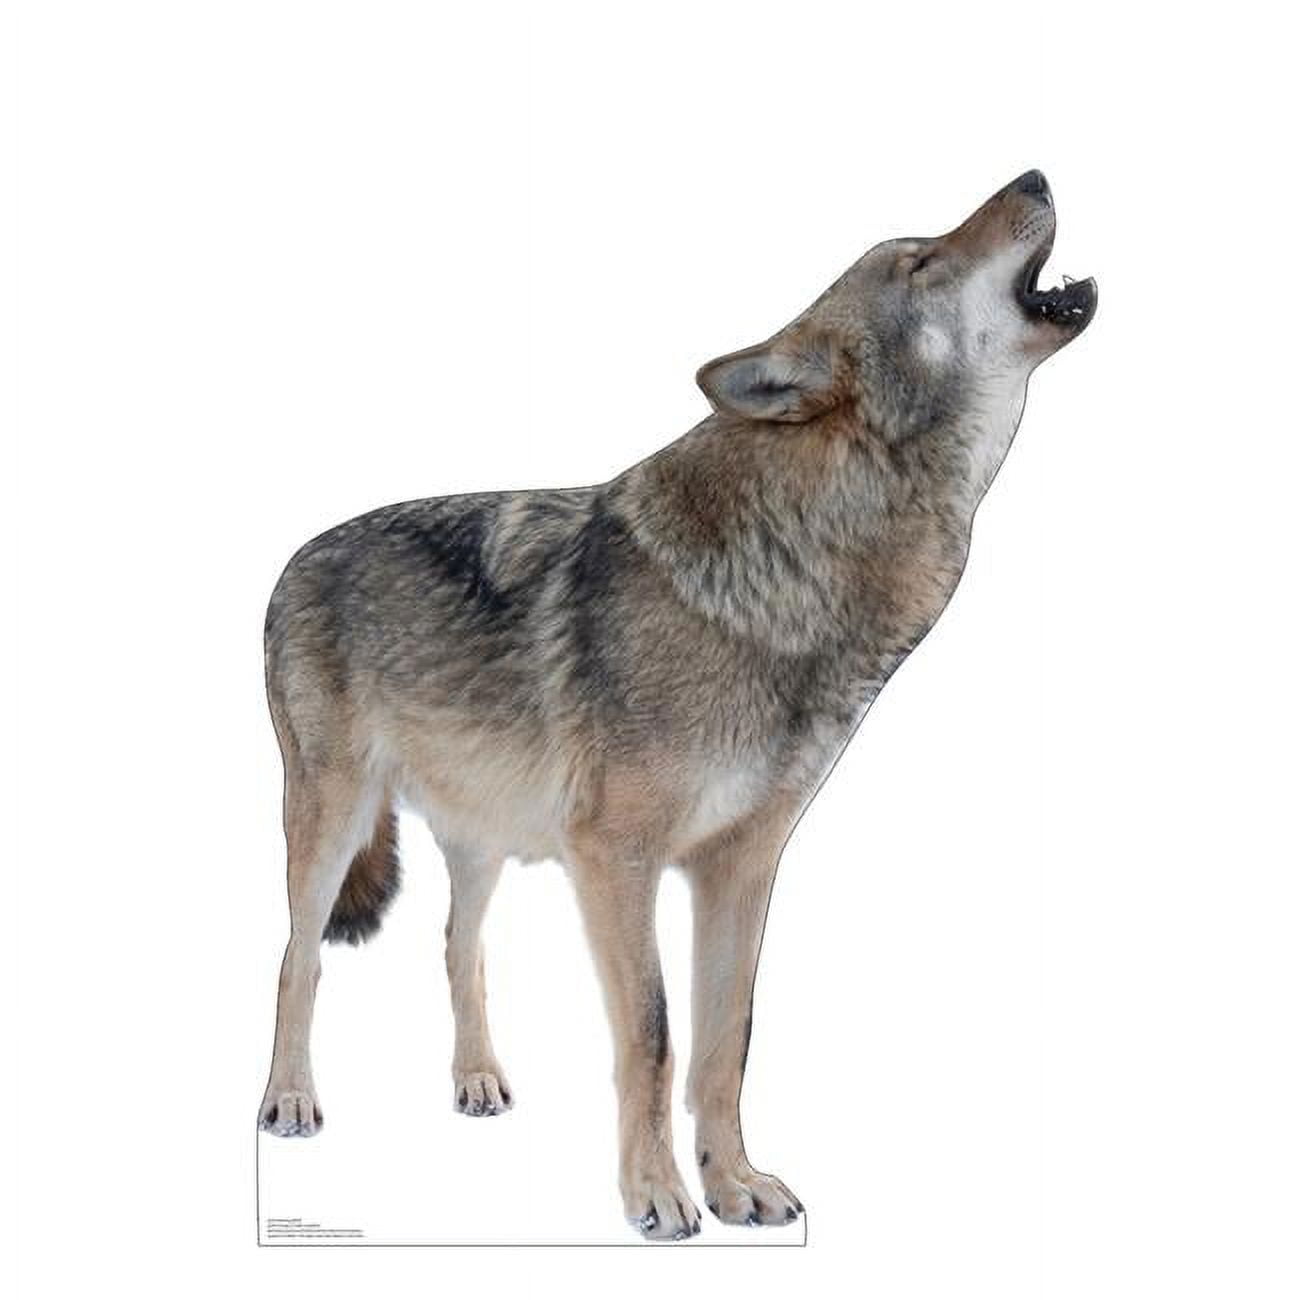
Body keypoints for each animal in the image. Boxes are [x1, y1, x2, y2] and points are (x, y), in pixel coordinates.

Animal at [258, 171, 1095, 1240]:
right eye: (918, 262)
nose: (1035, 176)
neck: (796, 565)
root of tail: (296, 554)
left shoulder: (740, 867)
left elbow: (726, 1041)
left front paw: (736, 1184)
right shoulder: (616, 859)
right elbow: (654, 1036)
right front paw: (657, 1196)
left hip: (483, 841)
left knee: (458, 946)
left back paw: (478, 1080)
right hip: (334, 820)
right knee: (298, 956)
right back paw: (289, 1100)